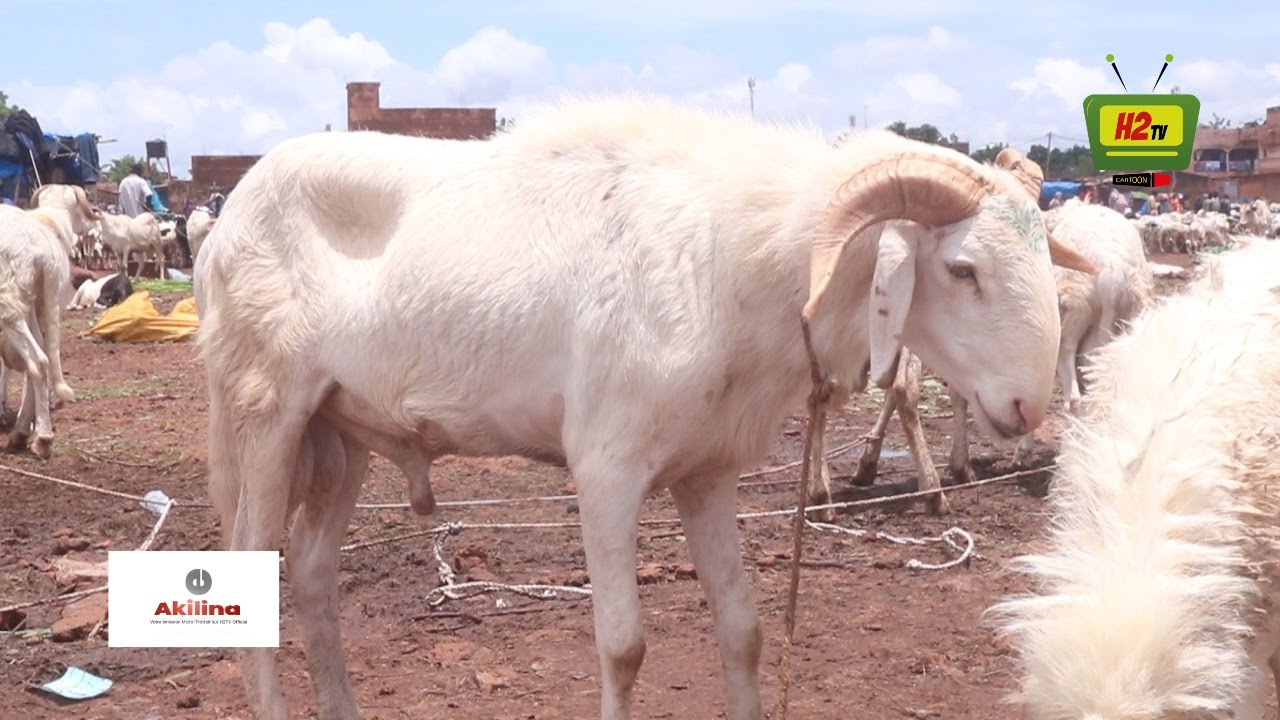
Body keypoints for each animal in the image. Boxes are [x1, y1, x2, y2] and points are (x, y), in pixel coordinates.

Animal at [0, 186, 100, 456]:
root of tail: (41, 253)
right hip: (34, 301)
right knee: (42, 360)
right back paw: (28, 434)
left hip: (9, 303)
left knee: (37, 361)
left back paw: (40, 436)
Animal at [193, 96, 1096, 720]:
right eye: (963, 269)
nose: (1027, 406)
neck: (737, 261)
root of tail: (226, 221)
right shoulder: (606, 467)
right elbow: (624, 646)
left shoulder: (709, 472)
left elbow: (743, 628)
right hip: (262, 412)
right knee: (253, 569)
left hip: (338, 432)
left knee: (314, 573)